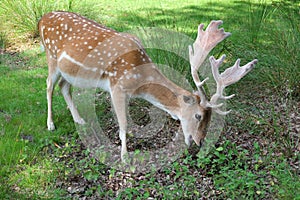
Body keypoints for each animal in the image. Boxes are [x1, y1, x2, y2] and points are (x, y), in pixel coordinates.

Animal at [38, 11, 258, 161]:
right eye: (198, 116)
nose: (200, 141)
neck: (140, 83)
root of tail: (41, 19)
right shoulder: (117, 87)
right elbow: (124, 124)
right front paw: (124, 156)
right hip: (51, 57)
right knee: (49, 85)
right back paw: (50, 124)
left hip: (70, 72)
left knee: (64, 87)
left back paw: (80, 120)